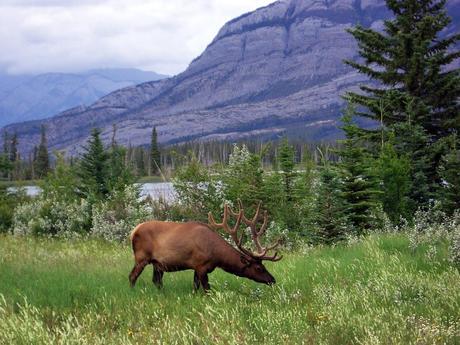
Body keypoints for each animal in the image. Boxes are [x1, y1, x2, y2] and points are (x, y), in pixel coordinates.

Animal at [127, 200, 282, 292]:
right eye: (259, 268)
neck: (217, 256)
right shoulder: (201, 266)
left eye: (264, 266)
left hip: (157, 263)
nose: (272, 280)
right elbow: (207, 289)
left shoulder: (196, 267)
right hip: (141, 257)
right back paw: (132, 292)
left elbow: (195, 287)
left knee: (156, 281)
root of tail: (133, 231)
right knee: (132, 276)